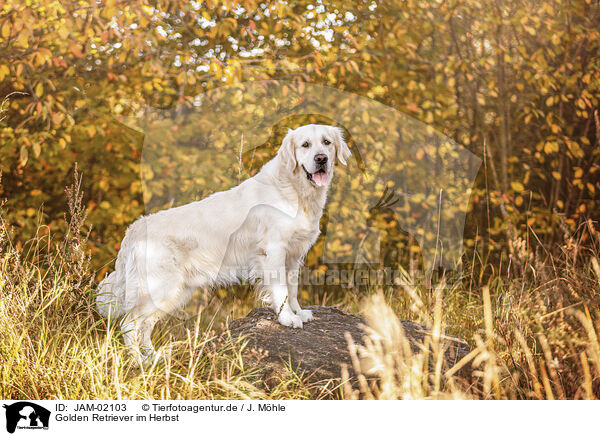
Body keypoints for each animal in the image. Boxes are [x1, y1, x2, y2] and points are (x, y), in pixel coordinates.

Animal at [95, 124, 350, 362]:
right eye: (305, 145)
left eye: (326, 142)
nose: (321, 159)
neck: (294, 189)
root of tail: (133, 230)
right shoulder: (274, 250)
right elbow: (281, 289)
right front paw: (287, 318)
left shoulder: (294, 255)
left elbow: (293, 288)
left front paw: (299, 312)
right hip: (159, 286)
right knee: (129, 324)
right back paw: (138, 363)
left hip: (174, 291)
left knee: (145, 326)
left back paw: (153, 359)